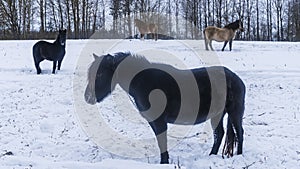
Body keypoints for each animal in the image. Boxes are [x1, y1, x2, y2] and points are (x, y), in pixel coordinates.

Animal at [84, 52, 246, 164]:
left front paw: (164, 162)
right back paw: (211, 155)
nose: (87, 97)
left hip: (235, 112)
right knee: (219, 134)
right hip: (217, 114)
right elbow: (160, 141)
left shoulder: (160, 121)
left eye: (100, 74)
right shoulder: (153, 121)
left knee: (239, 132)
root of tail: (236, 78)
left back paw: (239, 155)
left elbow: (162, 141)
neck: (145, 82)